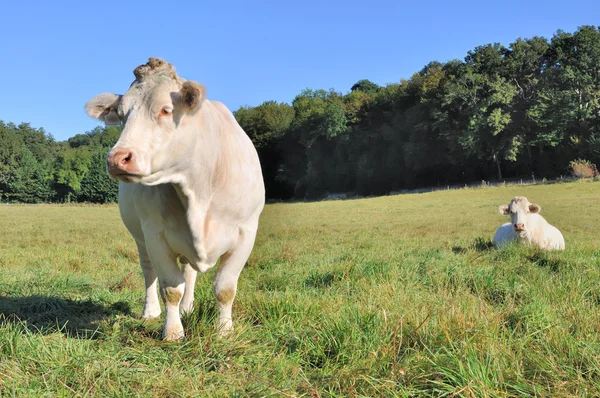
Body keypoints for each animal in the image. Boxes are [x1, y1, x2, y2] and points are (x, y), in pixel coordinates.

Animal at [84, 57, 264, 340]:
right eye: (122, 116)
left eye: (166, 110)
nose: (117, 159)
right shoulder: (155, 234)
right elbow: (170, 288)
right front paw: (172, 332)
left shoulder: (247, 231)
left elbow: (225, 288)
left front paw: (224, 331)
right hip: (141, 238)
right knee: (149, 272)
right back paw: (150, 311)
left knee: (189, 271)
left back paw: (188, 307)